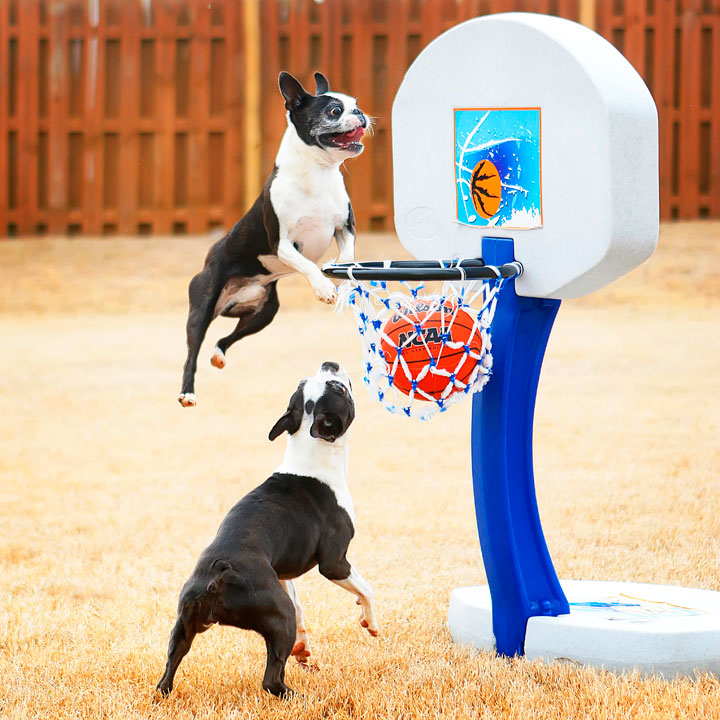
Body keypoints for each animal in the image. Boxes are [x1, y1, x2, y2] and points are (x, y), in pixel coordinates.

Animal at [155, 362, 380, 700]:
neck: (310, 453)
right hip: (277, 616)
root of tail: (218, 575)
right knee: (271, 679)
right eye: (337, 388)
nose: (330, 364)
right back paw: (299, 697)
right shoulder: (335, 562)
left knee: (169, 667)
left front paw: (303, 648)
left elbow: (300, 604)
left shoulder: (283, 572)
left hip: (184, 622)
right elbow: (366, 588)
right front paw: (370, 622)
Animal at [177, 75, 368, 408]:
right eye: (334, 111)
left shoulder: (345, 229)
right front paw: (323, 287)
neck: (318, 173)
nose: (360, 113)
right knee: (192, 352)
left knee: (226, 338)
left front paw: (343, 282)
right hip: (202, 307)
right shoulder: (283, 243)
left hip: (264, 312)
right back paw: (187, 391)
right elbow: (308, 265)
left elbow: (347, 256)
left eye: (355, 104)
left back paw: (219, 354)